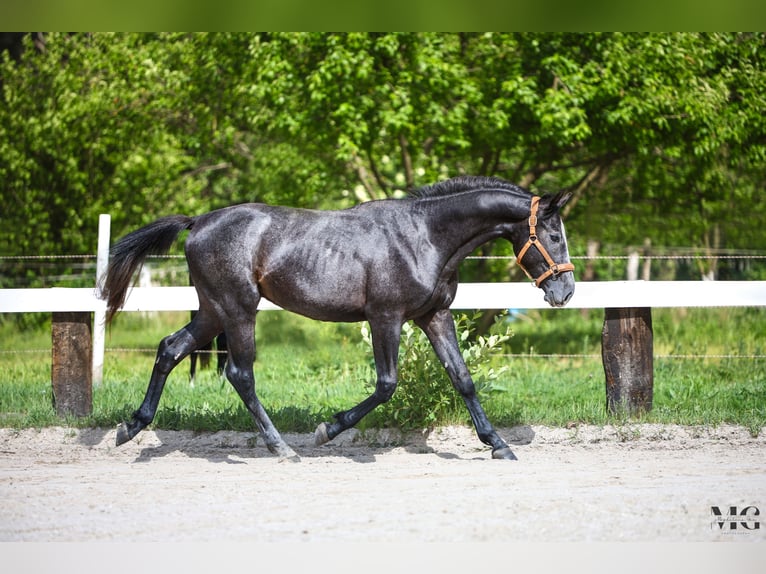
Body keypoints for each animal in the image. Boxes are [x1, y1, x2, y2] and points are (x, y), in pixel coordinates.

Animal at [99, 175, 575, 460]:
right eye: (554, 235)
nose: (565, 292)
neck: (424, 236)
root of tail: (197, 221)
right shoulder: (385, 317)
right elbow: (386, 385)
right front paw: (326, 429)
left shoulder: (434, 316)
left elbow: (462, 378)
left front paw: (499, 445)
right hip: (237, 309)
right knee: (240, 373)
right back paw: (281, 447)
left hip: (214, 311)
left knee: (170, 349)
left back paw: (131, 428)